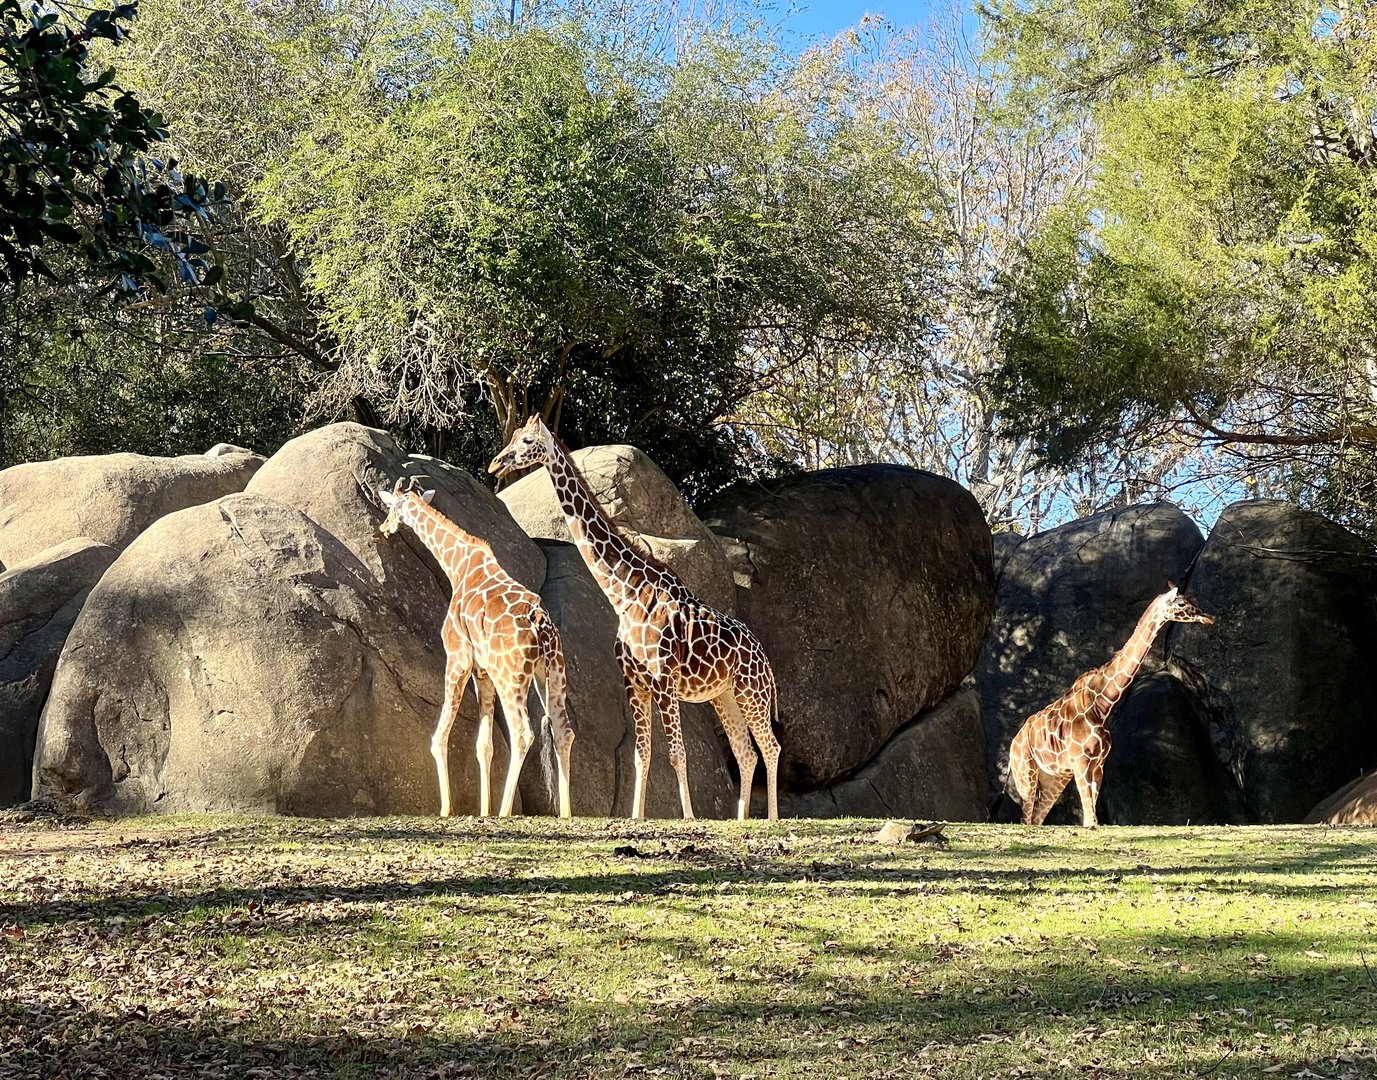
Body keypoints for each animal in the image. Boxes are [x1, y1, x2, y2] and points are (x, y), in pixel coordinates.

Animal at [377, 476, 574, 818]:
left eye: (391, 507)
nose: (384, 528)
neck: (457, 565)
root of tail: (541, 625)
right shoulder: (483, 672)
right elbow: (484, 746)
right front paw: (483, 809)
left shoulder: (458, 657)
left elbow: (439, 737)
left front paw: (447, 808)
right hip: (551, 673)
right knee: (563, 731)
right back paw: (565, 813)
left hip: (512, 677)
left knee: (523, 732)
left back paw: (506, 811)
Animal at [489, 415, 782, 821]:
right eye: (514, 437)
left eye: (528, 441)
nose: (496, 463)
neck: (625, 595)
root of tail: (766, 661)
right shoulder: (635, 683)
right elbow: (641, 754)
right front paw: (635, 815)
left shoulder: (663, 681)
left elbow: (677, 753)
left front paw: (688, 816)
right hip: (724, 697)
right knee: (746, 752)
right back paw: (740, 820)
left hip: (751, 692)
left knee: (771, 747)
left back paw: (772, 818)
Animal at [1008, 585, 1214, 827]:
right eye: (1181, 603)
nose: (1209, 617)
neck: (1103, 704)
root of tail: (1013, 744)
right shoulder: (1081, 763)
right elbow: (1091, 821)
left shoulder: (1097, 765)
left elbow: (1091, 819)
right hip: (1026, 774)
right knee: (1026, 818)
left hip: (1054, 778)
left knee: (1036, 818)